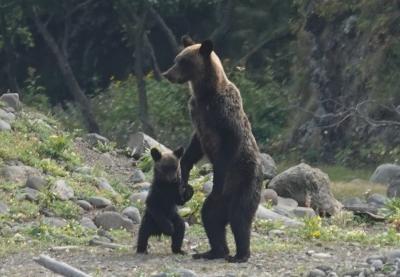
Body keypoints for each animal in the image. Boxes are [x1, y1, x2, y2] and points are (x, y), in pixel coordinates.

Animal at [162, 35, 262, 262]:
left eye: (183, 61)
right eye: (176, 59)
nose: (167, 74)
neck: (205, 93)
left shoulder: (224, 114)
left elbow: (229, 145)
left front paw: (216, 178)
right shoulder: (198, 115)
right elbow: (194, 146)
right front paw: (184, 171)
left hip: (244, 182)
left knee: (239, 217)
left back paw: (240, 254)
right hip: (219, 202)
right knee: (211, 217)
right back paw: (212, 251)